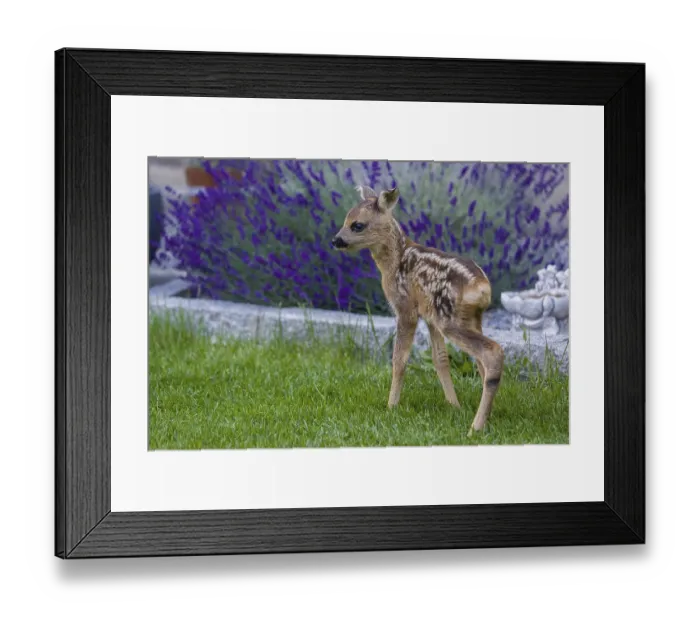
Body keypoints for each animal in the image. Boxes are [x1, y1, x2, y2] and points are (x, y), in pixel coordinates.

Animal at [331, 185, 505, 434]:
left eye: (357, 225)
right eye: (346, 219)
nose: (335, 240)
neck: (393, 263)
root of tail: (481, 288)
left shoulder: (406, 308)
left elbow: (399, 359)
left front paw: (391, 406)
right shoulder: (429, 315)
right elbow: (440, 359)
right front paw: (454, 405)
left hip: (450, 319)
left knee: (492, 352)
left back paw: (476, 427)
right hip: (467, 318)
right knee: (481, 362)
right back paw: (487, 417)